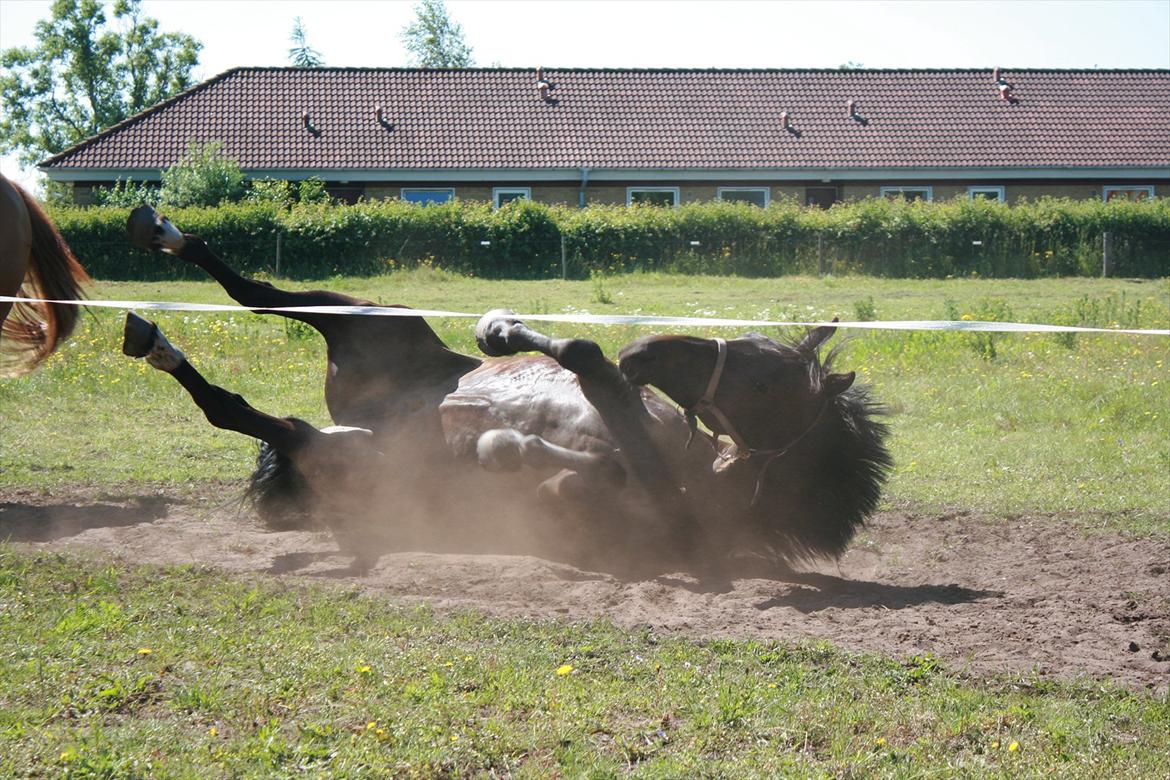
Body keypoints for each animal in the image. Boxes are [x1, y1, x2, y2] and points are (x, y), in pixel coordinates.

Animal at [123, 205, 889, 573]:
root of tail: (363, 417)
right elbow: (583, 359)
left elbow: (580, 432)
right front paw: (501, 332)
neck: (699, 476)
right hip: (369, 319)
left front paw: (506, 442)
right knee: (253, 294)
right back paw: (157, 236)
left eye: (762, 383)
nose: (647, 350)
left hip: (353, 451)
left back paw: (158, 341)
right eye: (759, 357)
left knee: (241, 410)